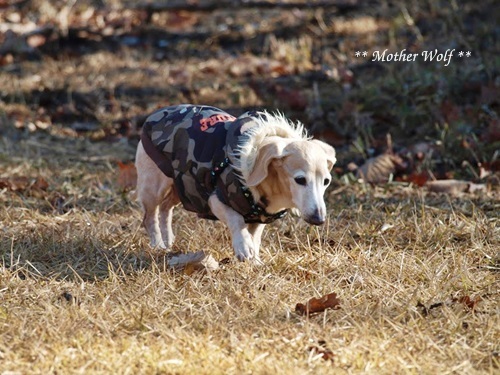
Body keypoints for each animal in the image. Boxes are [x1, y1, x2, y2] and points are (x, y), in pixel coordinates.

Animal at [136, 104, 336, 262]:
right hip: (154, 187)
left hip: (182, 186)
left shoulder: (260, 216)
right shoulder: (216, 200)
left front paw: (254, 259)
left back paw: (168, 241)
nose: (319, 219)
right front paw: (243, 248)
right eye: (300, 180)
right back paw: (158, 245)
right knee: (150, 217)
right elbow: (237, 220)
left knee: (165, 208)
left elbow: (255, 236)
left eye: (326, 181)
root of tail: (155, 115)